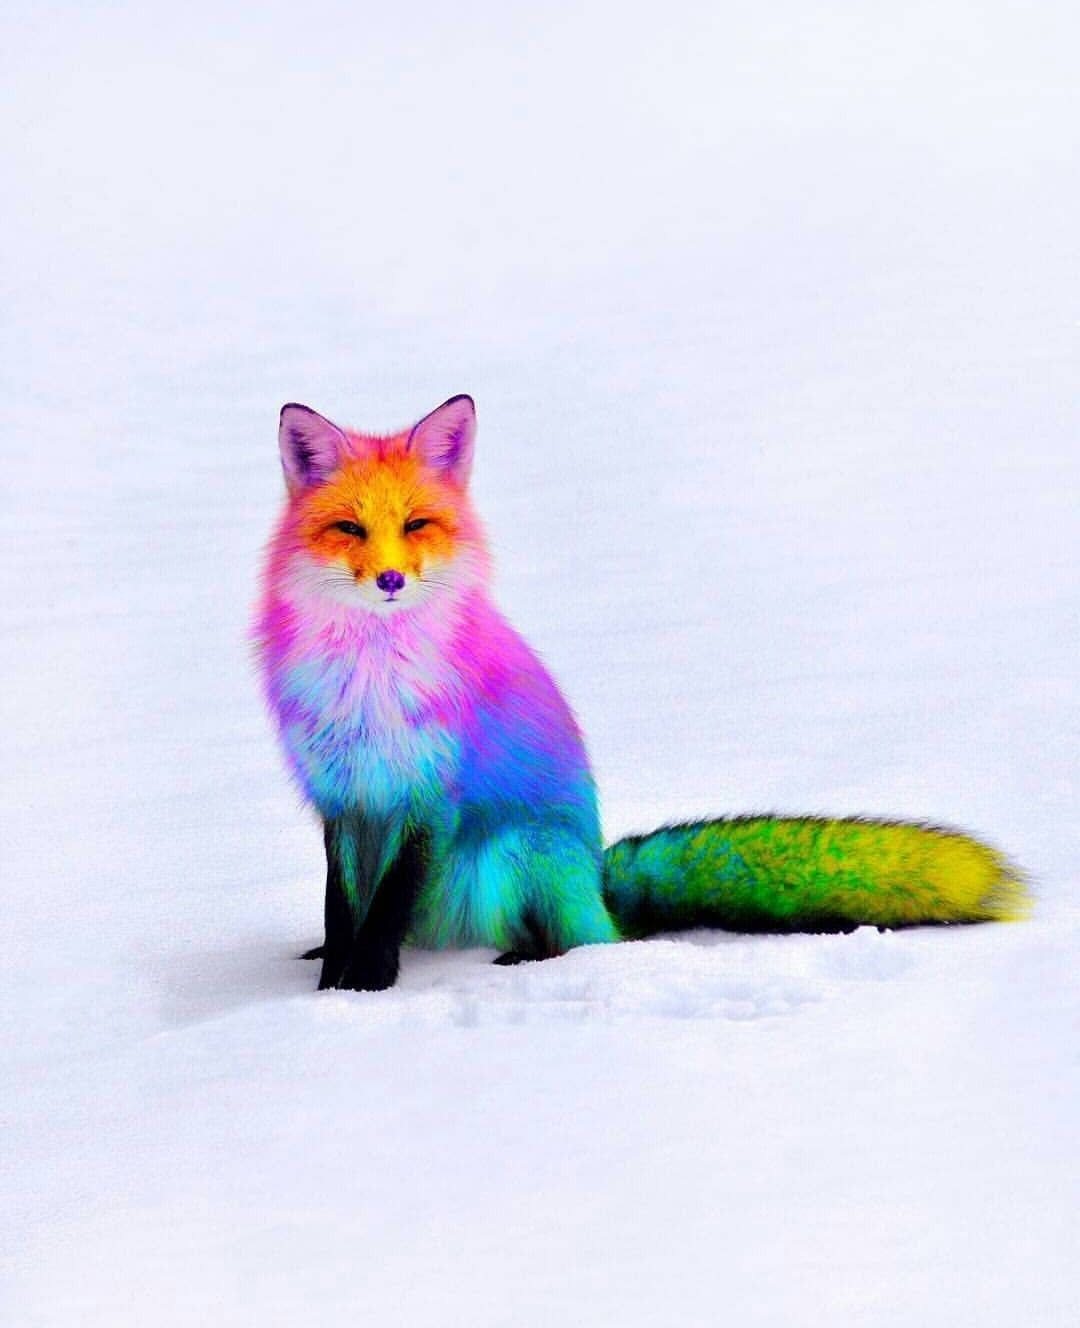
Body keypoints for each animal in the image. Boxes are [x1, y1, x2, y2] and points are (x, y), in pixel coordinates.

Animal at [254, 394, 1028, 992]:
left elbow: (389, 903)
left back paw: (528, 959)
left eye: (416, 524)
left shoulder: (429, 795)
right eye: (350, 528)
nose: (390, 580)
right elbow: (340, 903)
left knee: (583, 941)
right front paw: (330, 980)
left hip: (510, 852)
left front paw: (366, 985)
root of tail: (598, 882)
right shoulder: (343, 798)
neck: (370, 683)